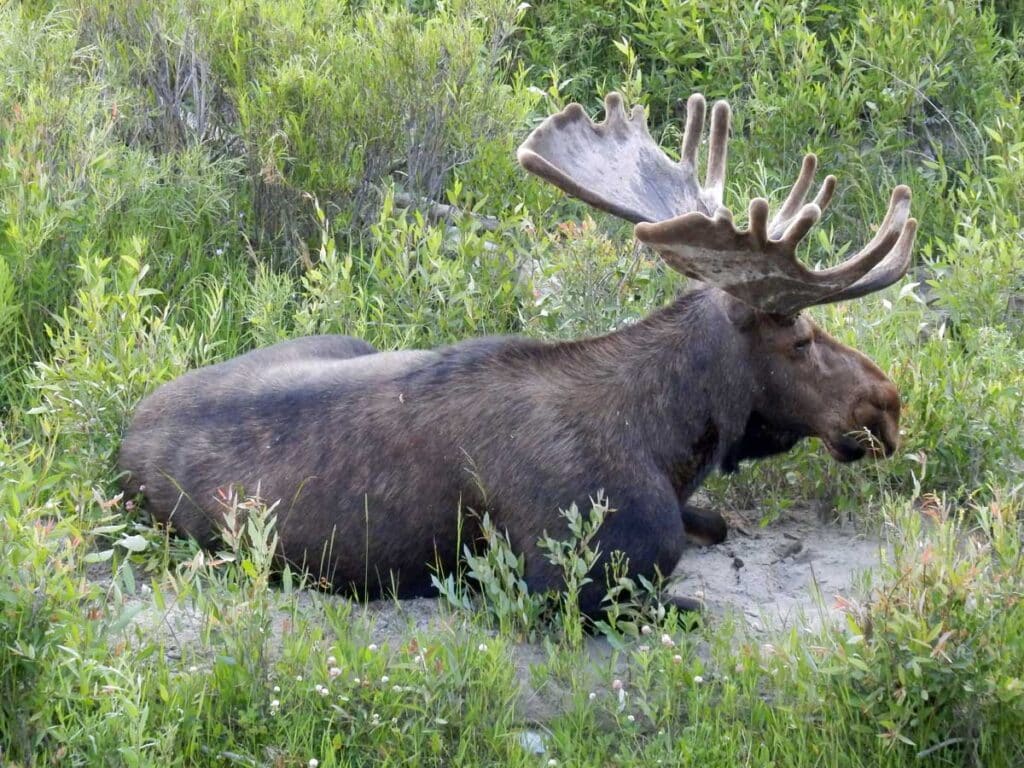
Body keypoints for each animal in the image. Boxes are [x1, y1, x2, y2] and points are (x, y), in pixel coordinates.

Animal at [118, 91, 916, 617]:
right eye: (801, 338)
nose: (888, 403)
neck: (669, 442)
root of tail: (122, 439)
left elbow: (717, 521)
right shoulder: (564, 585)